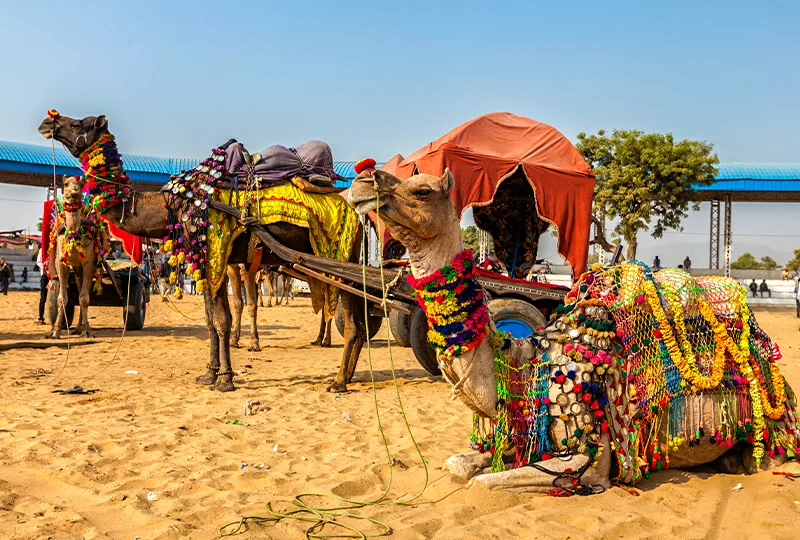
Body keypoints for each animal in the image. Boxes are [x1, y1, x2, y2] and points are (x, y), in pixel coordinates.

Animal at [47, 175, 103, 339]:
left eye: (81, 184)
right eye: (66, 184)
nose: (74, 192)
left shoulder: (89, 263)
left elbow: (84, 299)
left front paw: (87, 331)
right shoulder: (61, 263)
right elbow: (61, 298)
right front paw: (56, 331)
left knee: (82, 294)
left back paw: (82, 327)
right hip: (77, 269)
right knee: (78, 289)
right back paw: (77, 328)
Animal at [349, 168, 800, 493]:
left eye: (422, 190)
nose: (361, 180)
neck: (527, 364)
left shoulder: (590, 457)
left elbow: (484, 483)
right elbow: (459, 465)